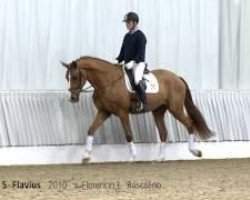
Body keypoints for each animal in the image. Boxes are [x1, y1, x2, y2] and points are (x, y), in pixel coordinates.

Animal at [61, 55, 213, 161]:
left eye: (74, 77)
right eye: (66, 77)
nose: (72, 98)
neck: (108, 82)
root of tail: (177, 77)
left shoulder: (122, 113)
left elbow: (128, 134)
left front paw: (132, 157)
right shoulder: (104, 112)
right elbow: (91, 129)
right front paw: (86, 155)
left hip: (175, 109)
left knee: (189, 123)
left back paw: (195, 151)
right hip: (158, 111)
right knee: (163, 132)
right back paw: (160, 158)